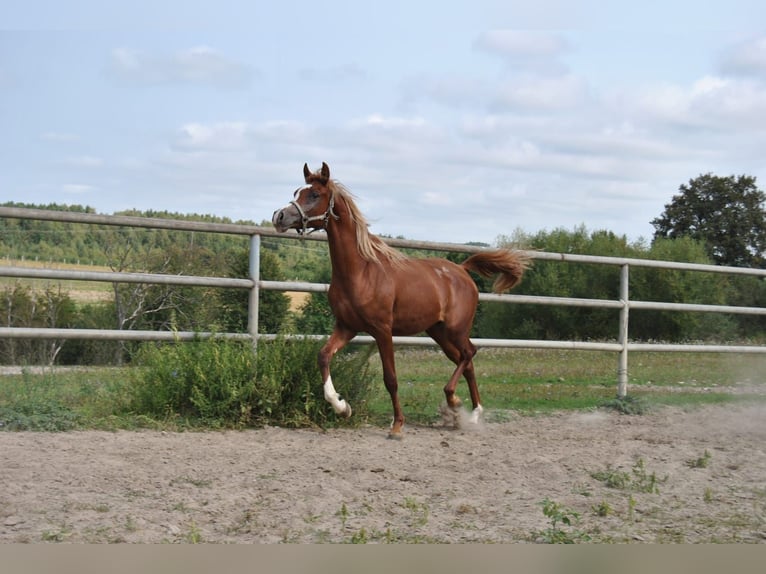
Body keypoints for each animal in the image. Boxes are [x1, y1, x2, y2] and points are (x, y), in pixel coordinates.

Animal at [272, 163, 532, 440]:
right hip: (438, 332)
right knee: (466, 360)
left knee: (469, 353)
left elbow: (391, 379)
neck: (360, 272)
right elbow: (323, 356)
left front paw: (397, 426)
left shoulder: (382, 330)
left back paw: (460, 406)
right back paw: (465, 413)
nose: (279, 217)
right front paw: (342, 407)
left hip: (456, 329)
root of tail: (462, 270)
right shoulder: (346, 327)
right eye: (296, 191)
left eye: (314, 195)